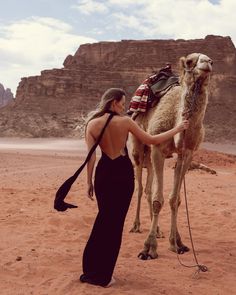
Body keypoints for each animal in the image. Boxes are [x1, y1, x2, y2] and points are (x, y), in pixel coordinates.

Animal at [130, 53, 213, 262]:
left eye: (212, 62)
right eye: (191, 61)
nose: (207, 63)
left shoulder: (187, 153)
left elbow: (175, 199)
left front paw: (177, 243)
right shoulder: (158, 148)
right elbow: (158, 200)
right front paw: (148, 248)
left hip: (149, 155)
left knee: (148, 188)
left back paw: (158, 230)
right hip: (138, 148)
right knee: (141, 188)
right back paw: (136, 226)